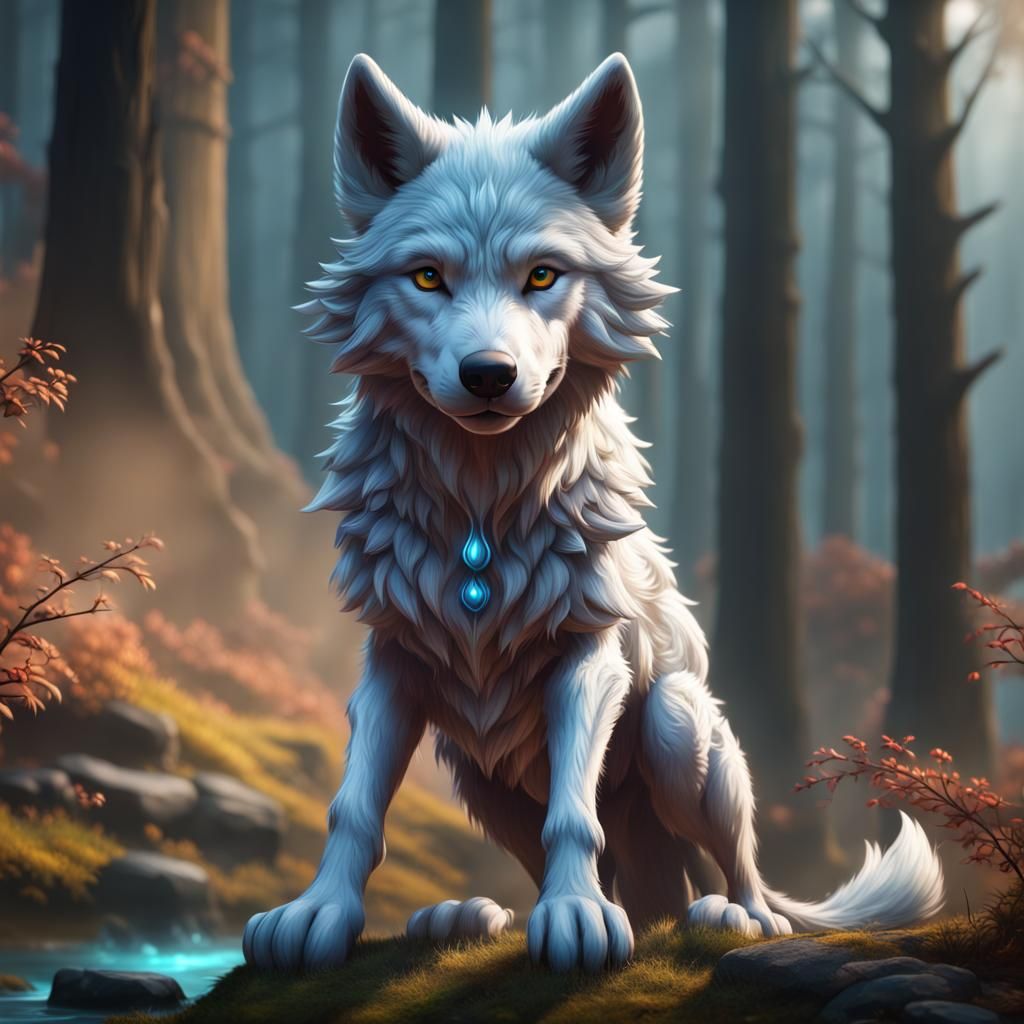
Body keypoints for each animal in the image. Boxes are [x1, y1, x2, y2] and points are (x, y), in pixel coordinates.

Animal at [243, 52, 944, 974]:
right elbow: (353, 807)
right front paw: (317, 912)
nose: (489, 374)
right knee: (603, 878)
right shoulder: (390, 664)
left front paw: (576, 920)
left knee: (735, 870)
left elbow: (574, 812)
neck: (483, 503)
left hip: (678, 724)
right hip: (477, 773)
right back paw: (469, 917)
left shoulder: (589, 658)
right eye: (428, 275)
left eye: (543, 275)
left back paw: (732, 917)